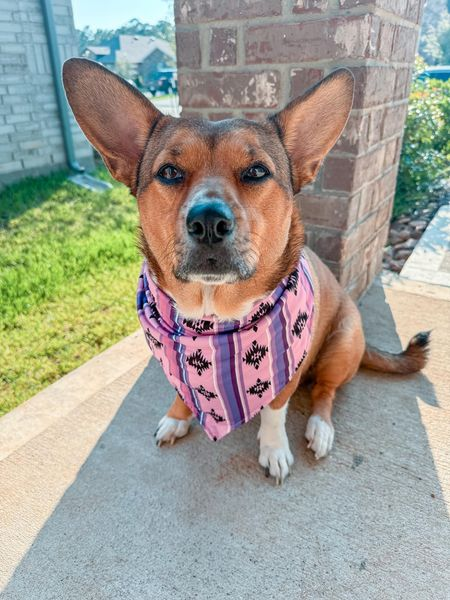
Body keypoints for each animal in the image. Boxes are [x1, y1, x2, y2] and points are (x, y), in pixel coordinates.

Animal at [62, 58, 428, 486]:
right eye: (168, 172)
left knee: (325, 390)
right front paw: (177, 417)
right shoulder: (176, 366)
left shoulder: (286, 372)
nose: (208, 221)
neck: (212, 317)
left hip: (342, 342)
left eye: (256, 172)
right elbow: (182, 391)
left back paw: (320, 427)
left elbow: (274, 411)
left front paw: (273, 449)